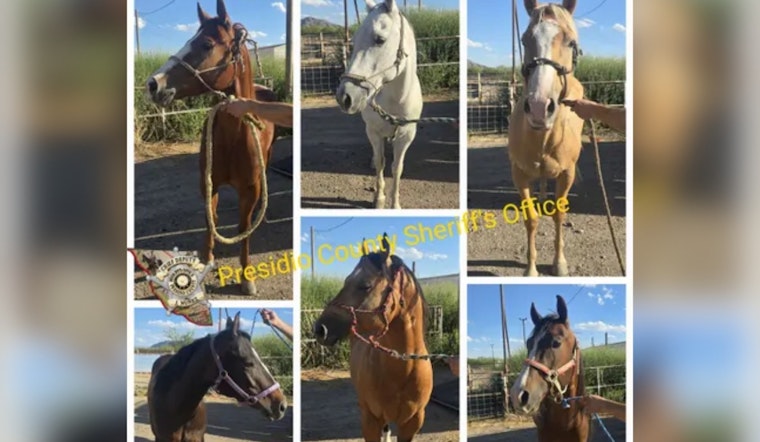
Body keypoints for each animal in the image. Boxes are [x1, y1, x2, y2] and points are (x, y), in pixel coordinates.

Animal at [145, 0, 278, 295]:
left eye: (206, 44)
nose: (153, 84)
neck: (233, 139)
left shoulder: (249, 191)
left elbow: (243, 228)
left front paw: (247, 278)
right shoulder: (208, 183)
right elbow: (210, 219)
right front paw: (206, 262)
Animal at [313, 234, 433, 441]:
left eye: (365, 285)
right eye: (346, 280)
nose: (320, 329)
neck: (404, 369)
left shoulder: (412, 423)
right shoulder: (370, 420)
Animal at [335, 0, 422, 209]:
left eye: (379, 39)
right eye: (354, 40)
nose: (345, 97)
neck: (397, 100)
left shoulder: (406, 136)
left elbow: (397, 168)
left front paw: (395, 204)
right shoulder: (373, 132)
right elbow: (381, 162)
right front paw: (379, 199)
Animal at [508, 0, 585, 276]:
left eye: (571, 42)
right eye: (524, 39)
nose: (540, 107)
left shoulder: (567, 173)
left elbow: (559, 215)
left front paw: (559, 264)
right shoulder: (519, 174)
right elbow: (531, 219)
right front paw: (531, 268)